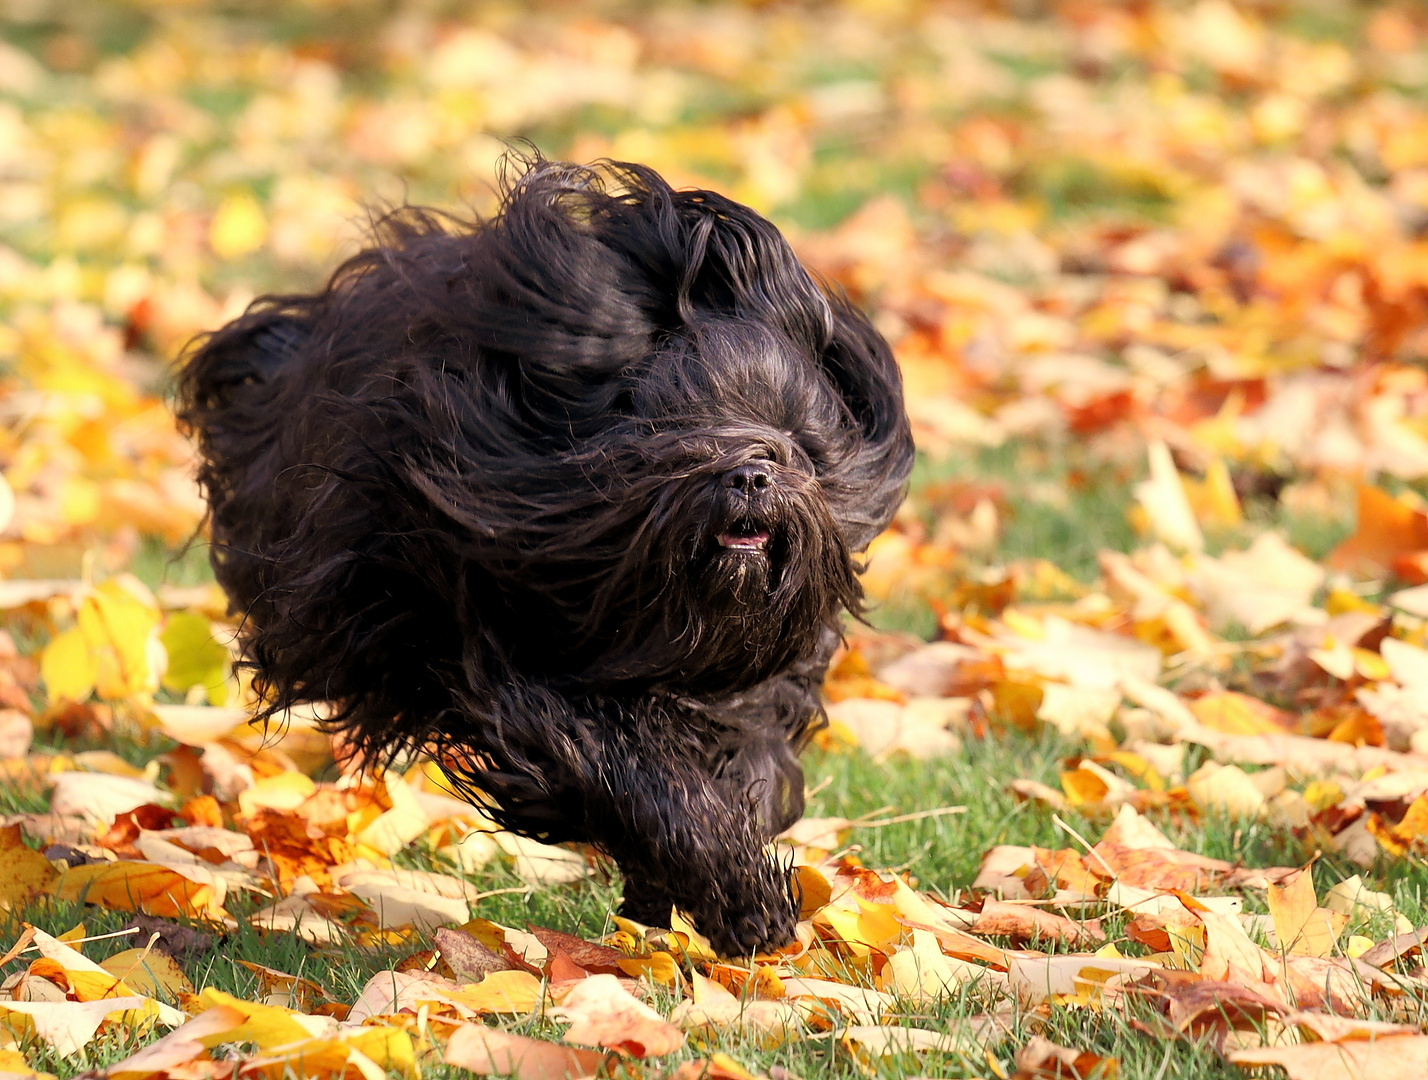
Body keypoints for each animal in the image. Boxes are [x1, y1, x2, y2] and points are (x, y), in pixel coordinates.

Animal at [178, 160, 913, 954]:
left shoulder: (756, 693)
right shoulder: (501, 653)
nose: (750, 475)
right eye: (676, 427)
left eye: (789, 440)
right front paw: (744, 903)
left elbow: (746, 768)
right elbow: (629, 770)